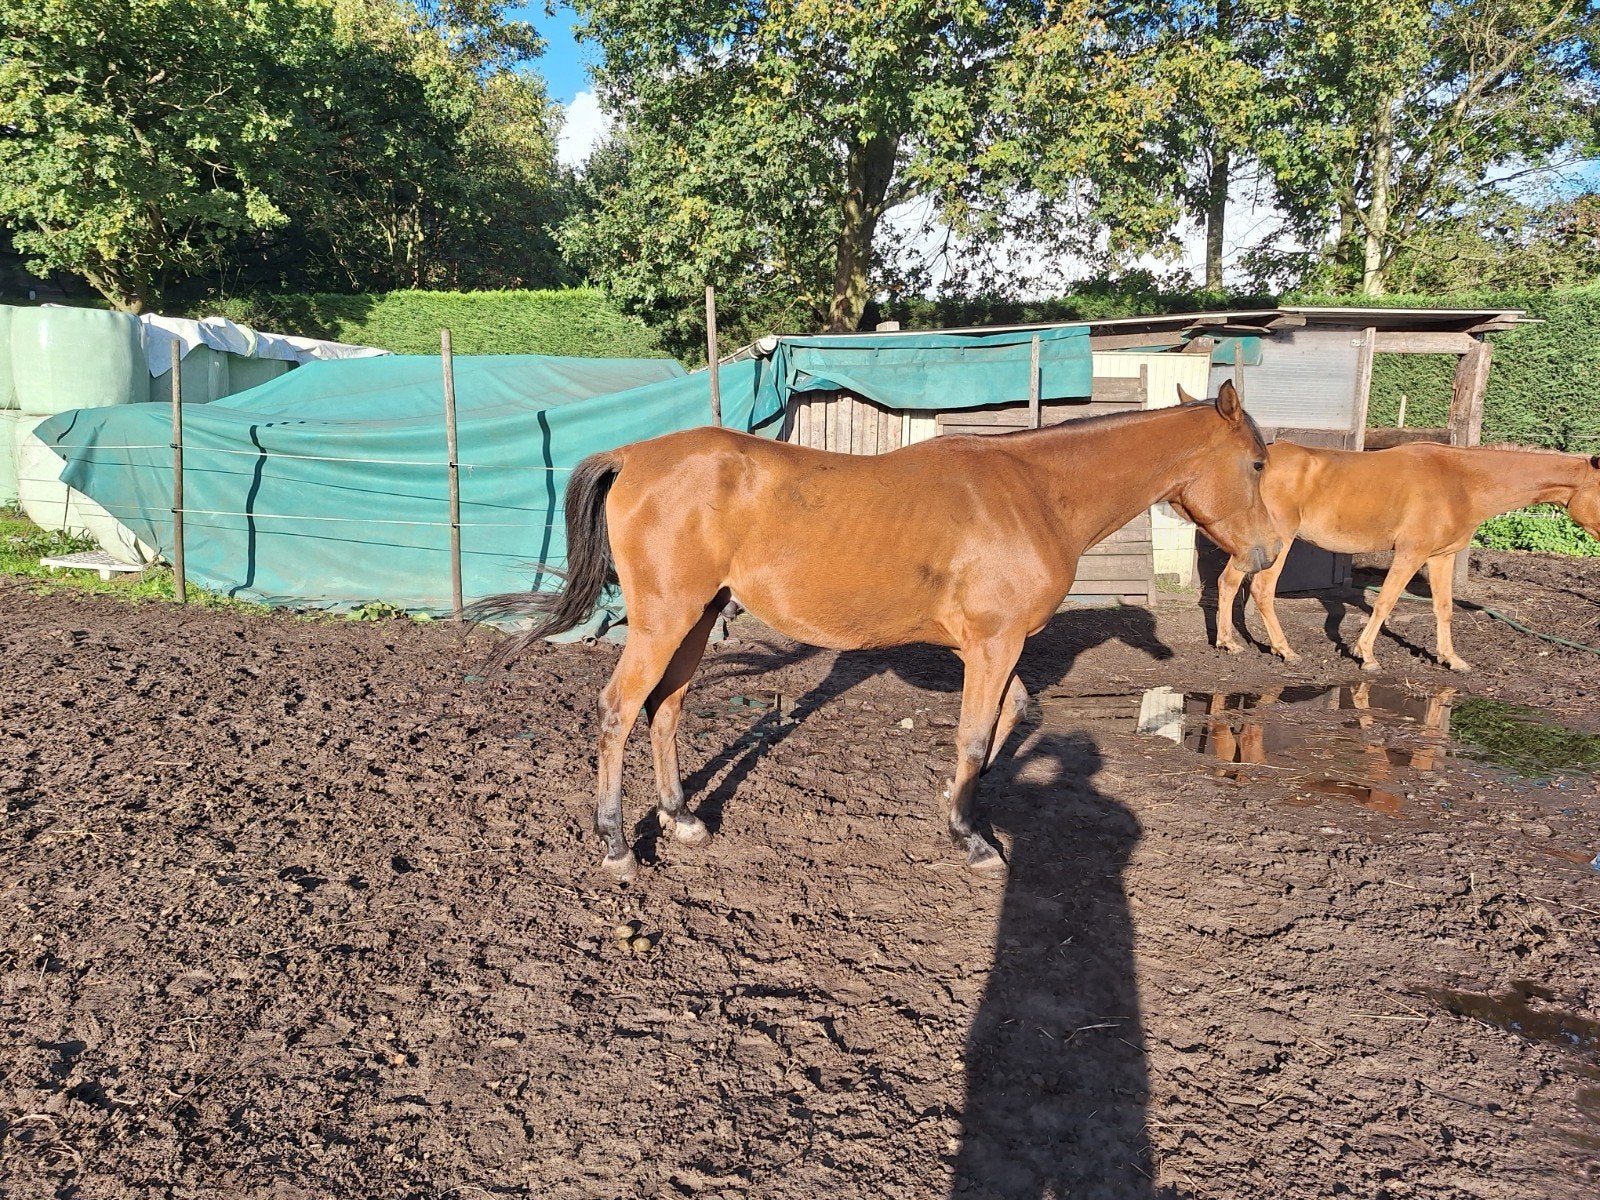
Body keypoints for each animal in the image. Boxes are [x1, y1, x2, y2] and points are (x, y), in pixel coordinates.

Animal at [478, 381, 1280, 880]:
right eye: (1257, 463)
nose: (1269, 553)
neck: (1032, 492)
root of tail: (632, 456)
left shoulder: (997, 647)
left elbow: (1008, 718)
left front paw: (960, 808)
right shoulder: (993, 645)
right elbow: (975, 736)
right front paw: (972, 838)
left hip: (696, 621)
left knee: (665, 709)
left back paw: (682, 820)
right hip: (665, 621)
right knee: (619, 710)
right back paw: (617, 844)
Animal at [1214, 441, 1600, 673]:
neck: (1462, 481)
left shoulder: (1441, 557)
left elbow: (1443, 607)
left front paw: (1450, 658)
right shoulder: (1411, 554)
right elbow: (1385, 602)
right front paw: (1366, 655)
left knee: (1229, 582)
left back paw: (1228, 642)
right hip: (1280, 542)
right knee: (1261, 589)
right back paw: (1284, 650)